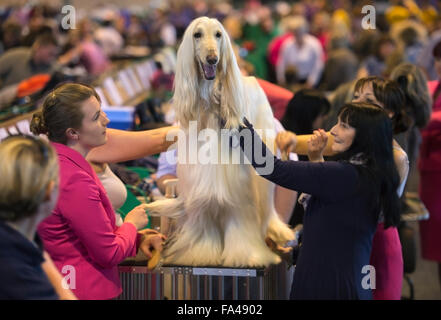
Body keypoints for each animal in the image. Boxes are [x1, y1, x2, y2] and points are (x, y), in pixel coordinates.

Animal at [146, 17, 294, 268]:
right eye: (197, 34)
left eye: (218, 35)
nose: (212, 58)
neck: (209, 104)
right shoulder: (200, 185)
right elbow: (204, 222)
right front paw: (201, 253)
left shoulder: (239, 187)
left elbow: (240, 220)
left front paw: (247, 256)